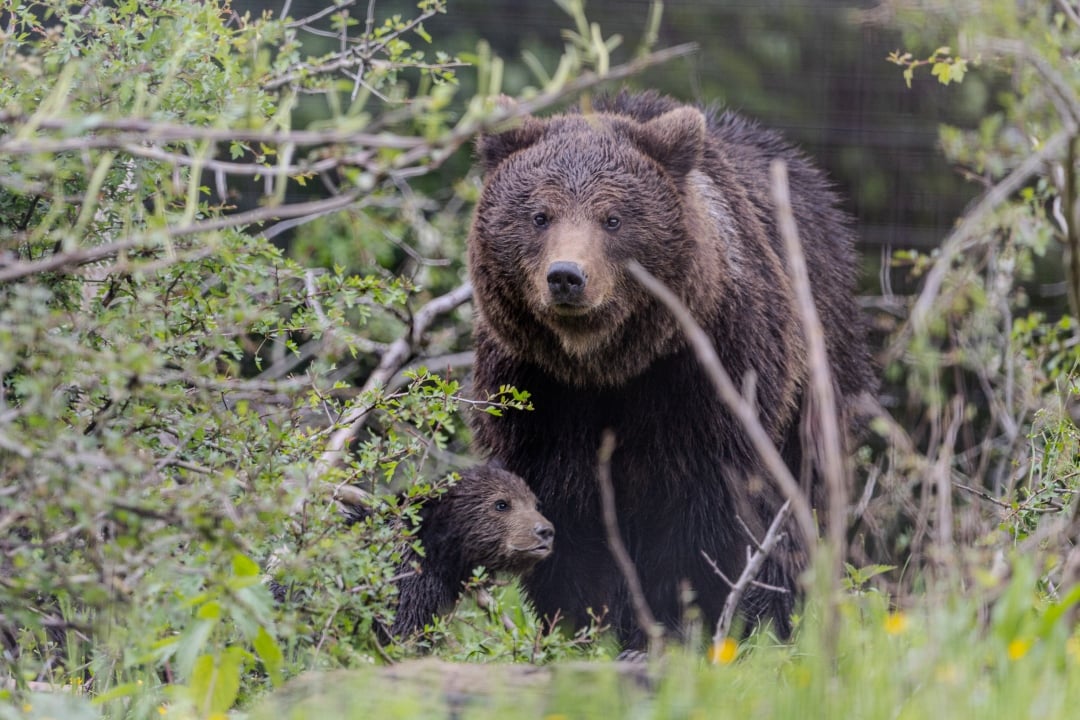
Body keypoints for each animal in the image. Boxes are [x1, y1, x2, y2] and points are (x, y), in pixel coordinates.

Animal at [466, 90, 874, 650]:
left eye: (613, 218)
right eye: (539, 215)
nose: (567, 276)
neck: (605, 367)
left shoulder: (704, 379)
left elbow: (702, 519)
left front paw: (683, 622)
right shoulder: (539, 396)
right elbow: (566, 518)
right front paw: (586, 623)